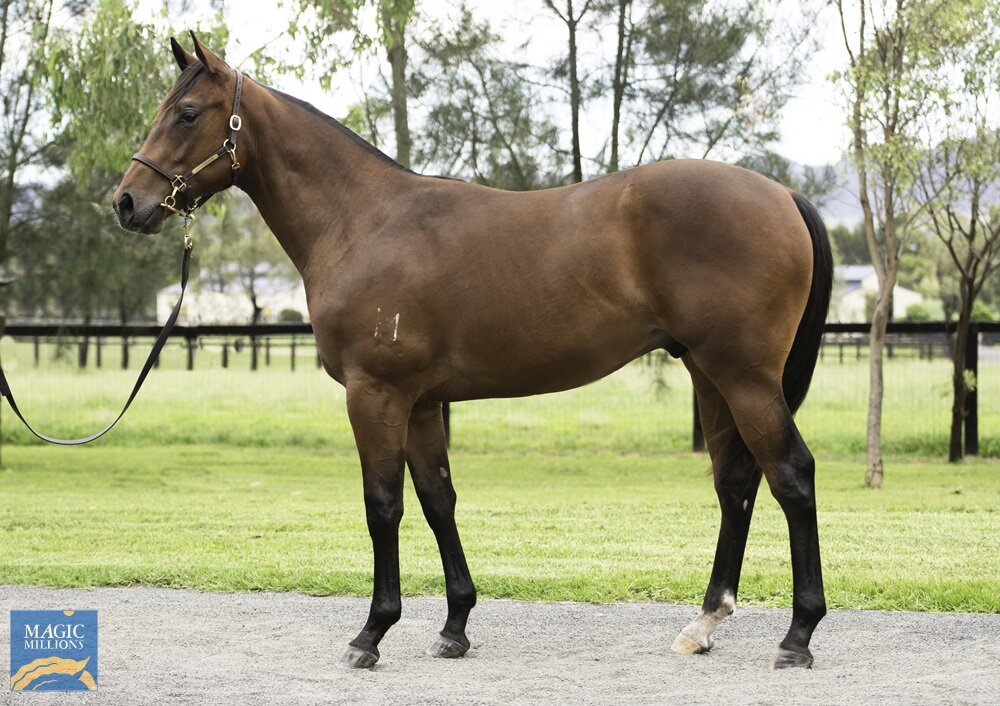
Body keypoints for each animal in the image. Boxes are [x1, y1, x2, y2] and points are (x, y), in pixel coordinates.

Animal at [113, 35, 836, 668]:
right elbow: (439, 500)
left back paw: (798, 635)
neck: (362, 220)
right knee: (736, 483)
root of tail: (783, 194)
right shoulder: (421, 403)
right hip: (711, 376)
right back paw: (704, 624)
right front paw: (455, 625)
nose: (126, 202)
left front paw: (371, 634)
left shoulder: (375, 394)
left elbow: (383, 506)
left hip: (745, 378)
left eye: (186, 112)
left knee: (791, 475)